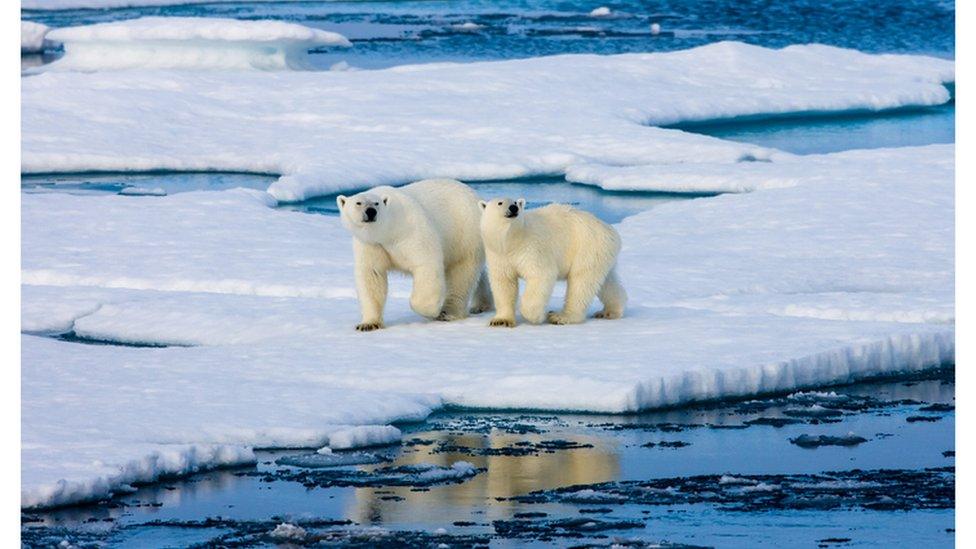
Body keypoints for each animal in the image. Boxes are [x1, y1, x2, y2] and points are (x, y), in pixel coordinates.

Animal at [338, 179, 492, 330]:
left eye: (377, 203)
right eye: (358, 203)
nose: (371, 212)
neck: (388, 231)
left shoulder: (410, 230)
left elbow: (426, 264)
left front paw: (432, 311)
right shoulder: (371, 244)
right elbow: (372, 275)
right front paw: (368, 324)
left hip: (464, 233)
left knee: (461, 273)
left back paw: (447, 312)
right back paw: (481, 305)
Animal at [478, 197, 624, 326]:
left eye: (515, 202)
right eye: (500, 203)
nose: (513, 208)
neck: (511, 241)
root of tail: (611, 231)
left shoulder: (531, 247)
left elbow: (541, 275)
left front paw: (536, 316)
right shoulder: (499, 255)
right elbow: (504, 283)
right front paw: (501, 321)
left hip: (587, 247)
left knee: (581, 282)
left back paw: (560, 316)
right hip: (601, 254)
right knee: (606, 282)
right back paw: (610, 311)